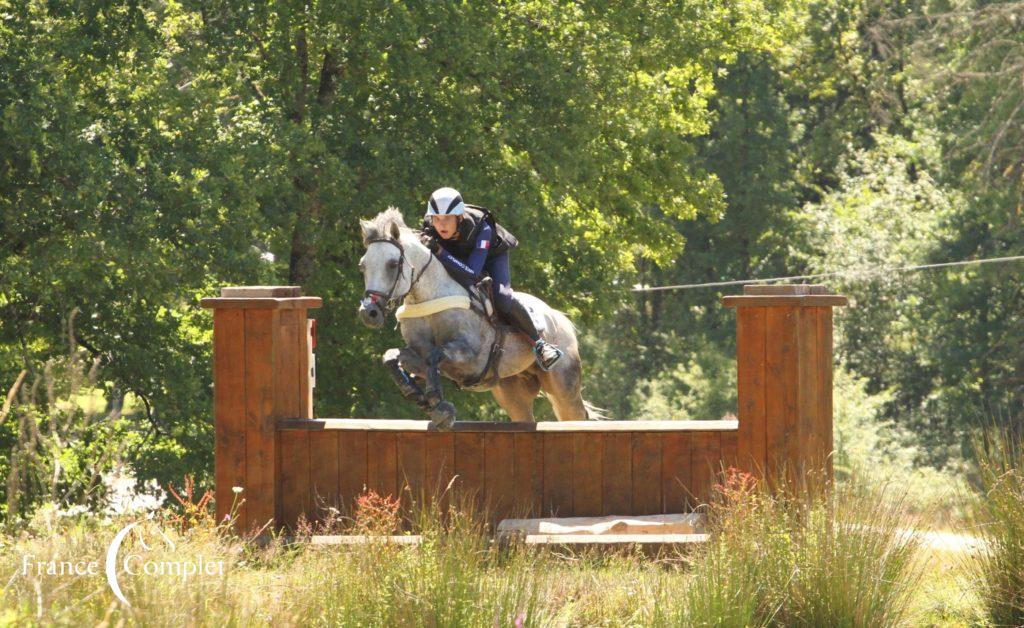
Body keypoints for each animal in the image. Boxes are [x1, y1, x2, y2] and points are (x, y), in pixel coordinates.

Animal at [358, 207, 602, 428]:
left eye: (392, 264)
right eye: (363, 266)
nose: (369, 313)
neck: (429, 298)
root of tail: (559, 318)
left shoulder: (471, 358)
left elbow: (435, 356)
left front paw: (439, 405)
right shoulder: (420, 356)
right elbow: (392, 357)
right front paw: (416, 393)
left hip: (563, 384)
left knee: (575, 415)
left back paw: (547, 353)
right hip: (512, 390)